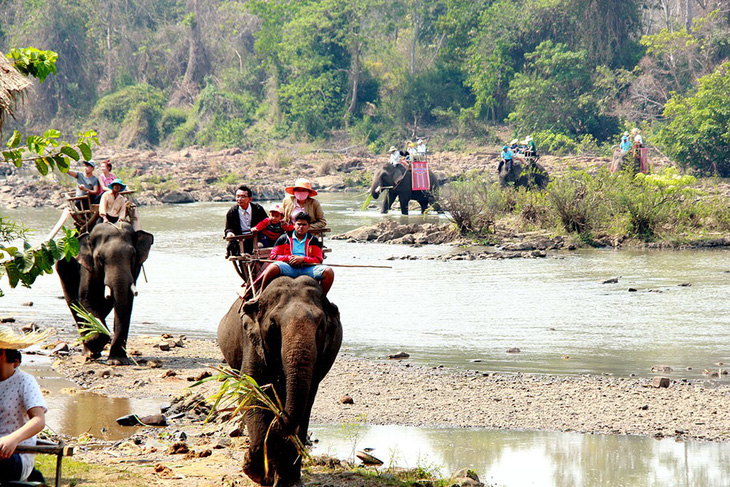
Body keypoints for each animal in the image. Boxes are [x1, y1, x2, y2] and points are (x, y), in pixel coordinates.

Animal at [57, 221, 154, 362]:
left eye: (133, 255)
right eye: (99, 257)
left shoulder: (135, 271)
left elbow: (126, 301)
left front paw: (117, 361)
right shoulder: (88, 267)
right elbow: (86, 299)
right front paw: (97, 340)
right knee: (74, 305)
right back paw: (89, 352)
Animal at [216, 276, 342, 486]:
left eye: (320, 326)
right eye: (274, 325)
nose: (278, 420)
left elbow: (306, 400)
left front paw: (284, 480)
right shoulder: (252, 341)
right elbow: (252, 393)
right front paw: (255, 472)